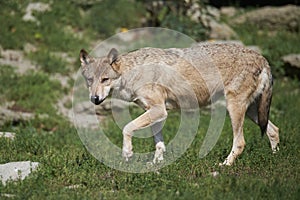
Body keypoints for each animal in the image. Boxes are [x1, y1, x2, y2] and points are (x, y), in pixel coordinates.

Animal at [79, 43, 278, 166]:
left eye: (105, 79)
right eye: (90, 80)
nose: (94, 99)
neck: (134, 72)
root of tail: (263, 59)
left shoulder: (158, 110)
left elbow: (127, 128)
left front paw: (127, 153)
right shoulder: (157, 113)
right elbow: (159, 144)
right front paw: (156, 164)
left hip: (234, 109)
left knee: (240, 142)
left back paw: (224, 165)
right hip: (252, 112)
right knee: (274, 131)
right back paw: (275, 159)